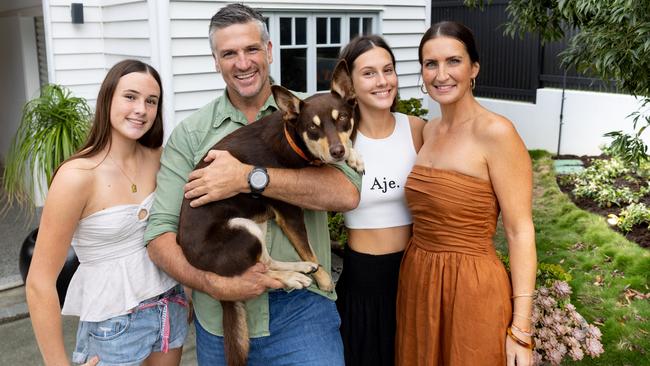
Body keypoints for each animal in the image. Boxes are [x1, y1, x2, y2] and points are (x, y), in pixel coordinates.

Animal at [175, 60, 362, 366]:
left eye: (343, 119)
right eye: (313, 128)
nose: (337, 151)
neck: (291, 137)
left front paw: (355, 156)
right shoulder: (289, 212)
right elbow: (309, 248)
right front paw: (325, 280)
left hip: (256, 223)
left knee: (266, 261)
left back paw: (300, 269)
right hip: (243, 228)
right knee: (261, 271)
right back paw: (297, 276)